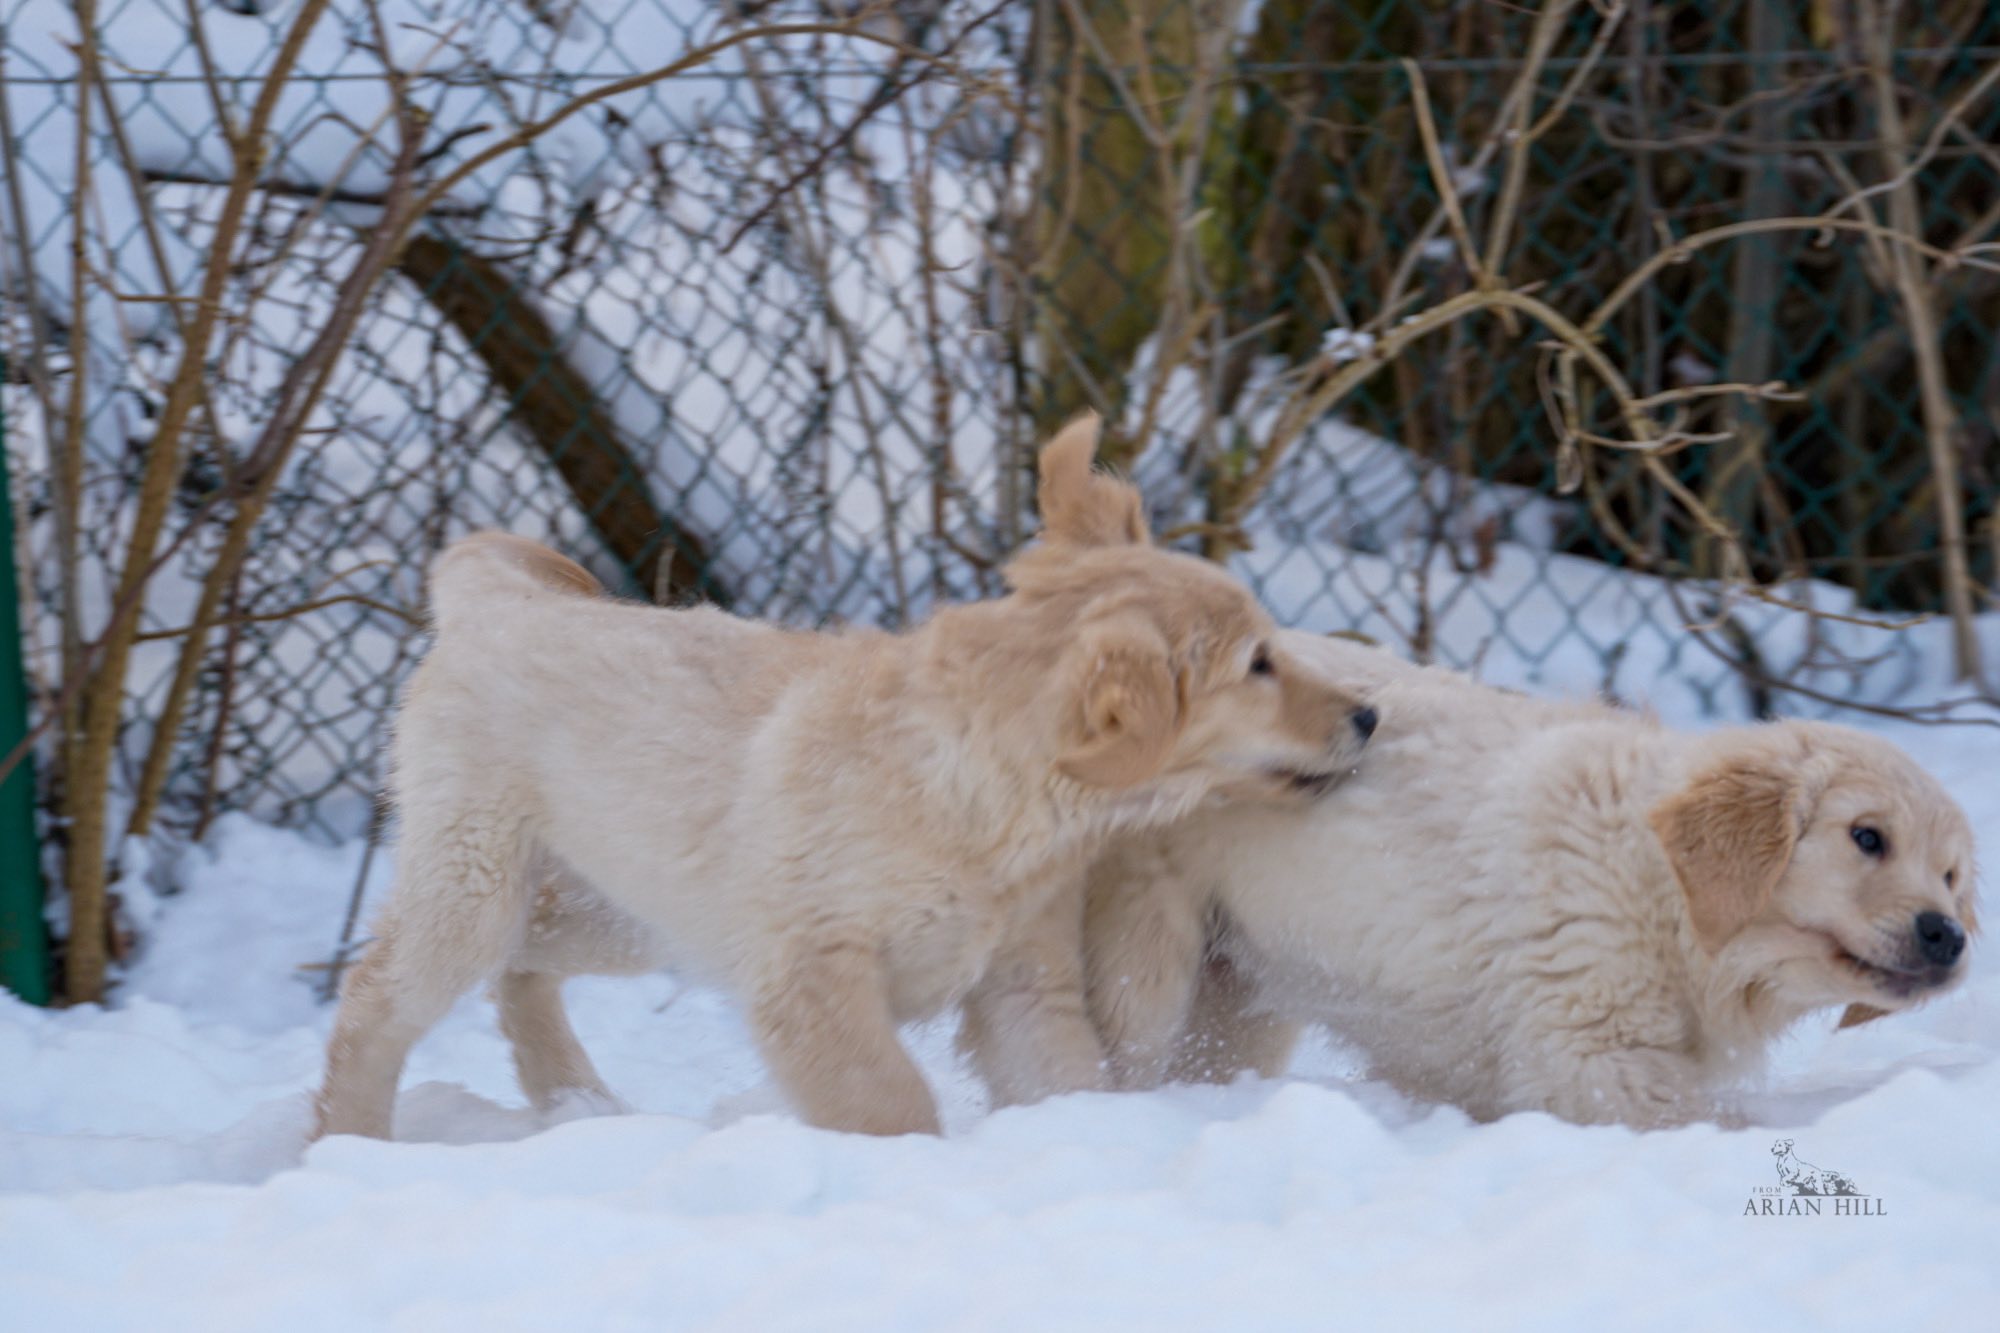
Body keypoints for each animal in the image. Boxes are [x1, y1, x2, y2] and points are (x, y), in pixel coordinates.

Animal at [312, 415, 1377, 1139]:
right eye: (1258, 665)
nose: (1370, 715)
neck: (979, 794)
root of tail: (496, 597)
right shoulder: (808, 970)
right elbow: (886, 1098)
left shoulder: (1023, 977)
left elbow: (1066, 1076)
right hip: (476, 880)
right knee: (375, 999)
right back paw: (347, 1139)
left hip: (627, 905)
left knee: (523, 967)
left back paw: (573, 1096)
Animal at [1082, 632, 1977, 1128]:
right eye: (1867, 838)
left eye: (1950, 873)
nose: (1949, 933)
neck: (1663, 891)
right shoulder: (1589, 1060)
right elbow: (1715, 1122)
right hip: (1144, 965)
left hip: (1237, 991)